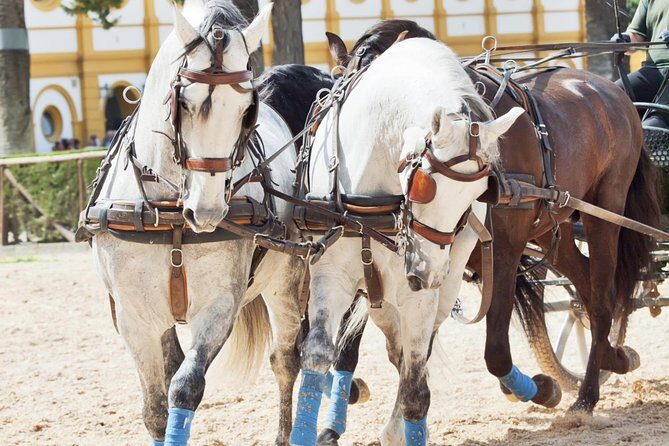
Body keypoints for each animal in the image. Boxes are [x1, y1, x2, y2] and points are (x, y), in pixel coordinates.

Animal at [86, 2, 328, 444]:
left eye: (248, 111)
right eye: (182, 103)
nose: (209, 212)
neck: (171, 215)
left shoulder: (217, 307)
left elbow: (185, 387)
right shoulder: (134, 316)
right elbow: (155, 407)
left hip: (287, 281)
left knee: (287, 360)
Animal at [290, 37, 524, 446]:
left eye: (480, 193)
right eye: (424, 186)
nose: (428, 274)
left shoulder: (419, 291)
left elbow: (416, 386)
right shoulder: (330, 274)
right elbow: (317, 354)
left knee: (417, 352)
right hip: (383, 295)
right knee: (393, 347)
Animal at [324, 18, 659, 426]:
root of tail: (610, 91)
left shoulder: (503, 250)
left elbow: (494, 351)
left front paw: (538, 389)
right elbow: (354, 345)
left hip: (604, 212)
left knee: (601, 296)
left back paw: (587, 396)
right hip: (555, 230)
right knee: (588, 288)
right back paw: (615, 357)